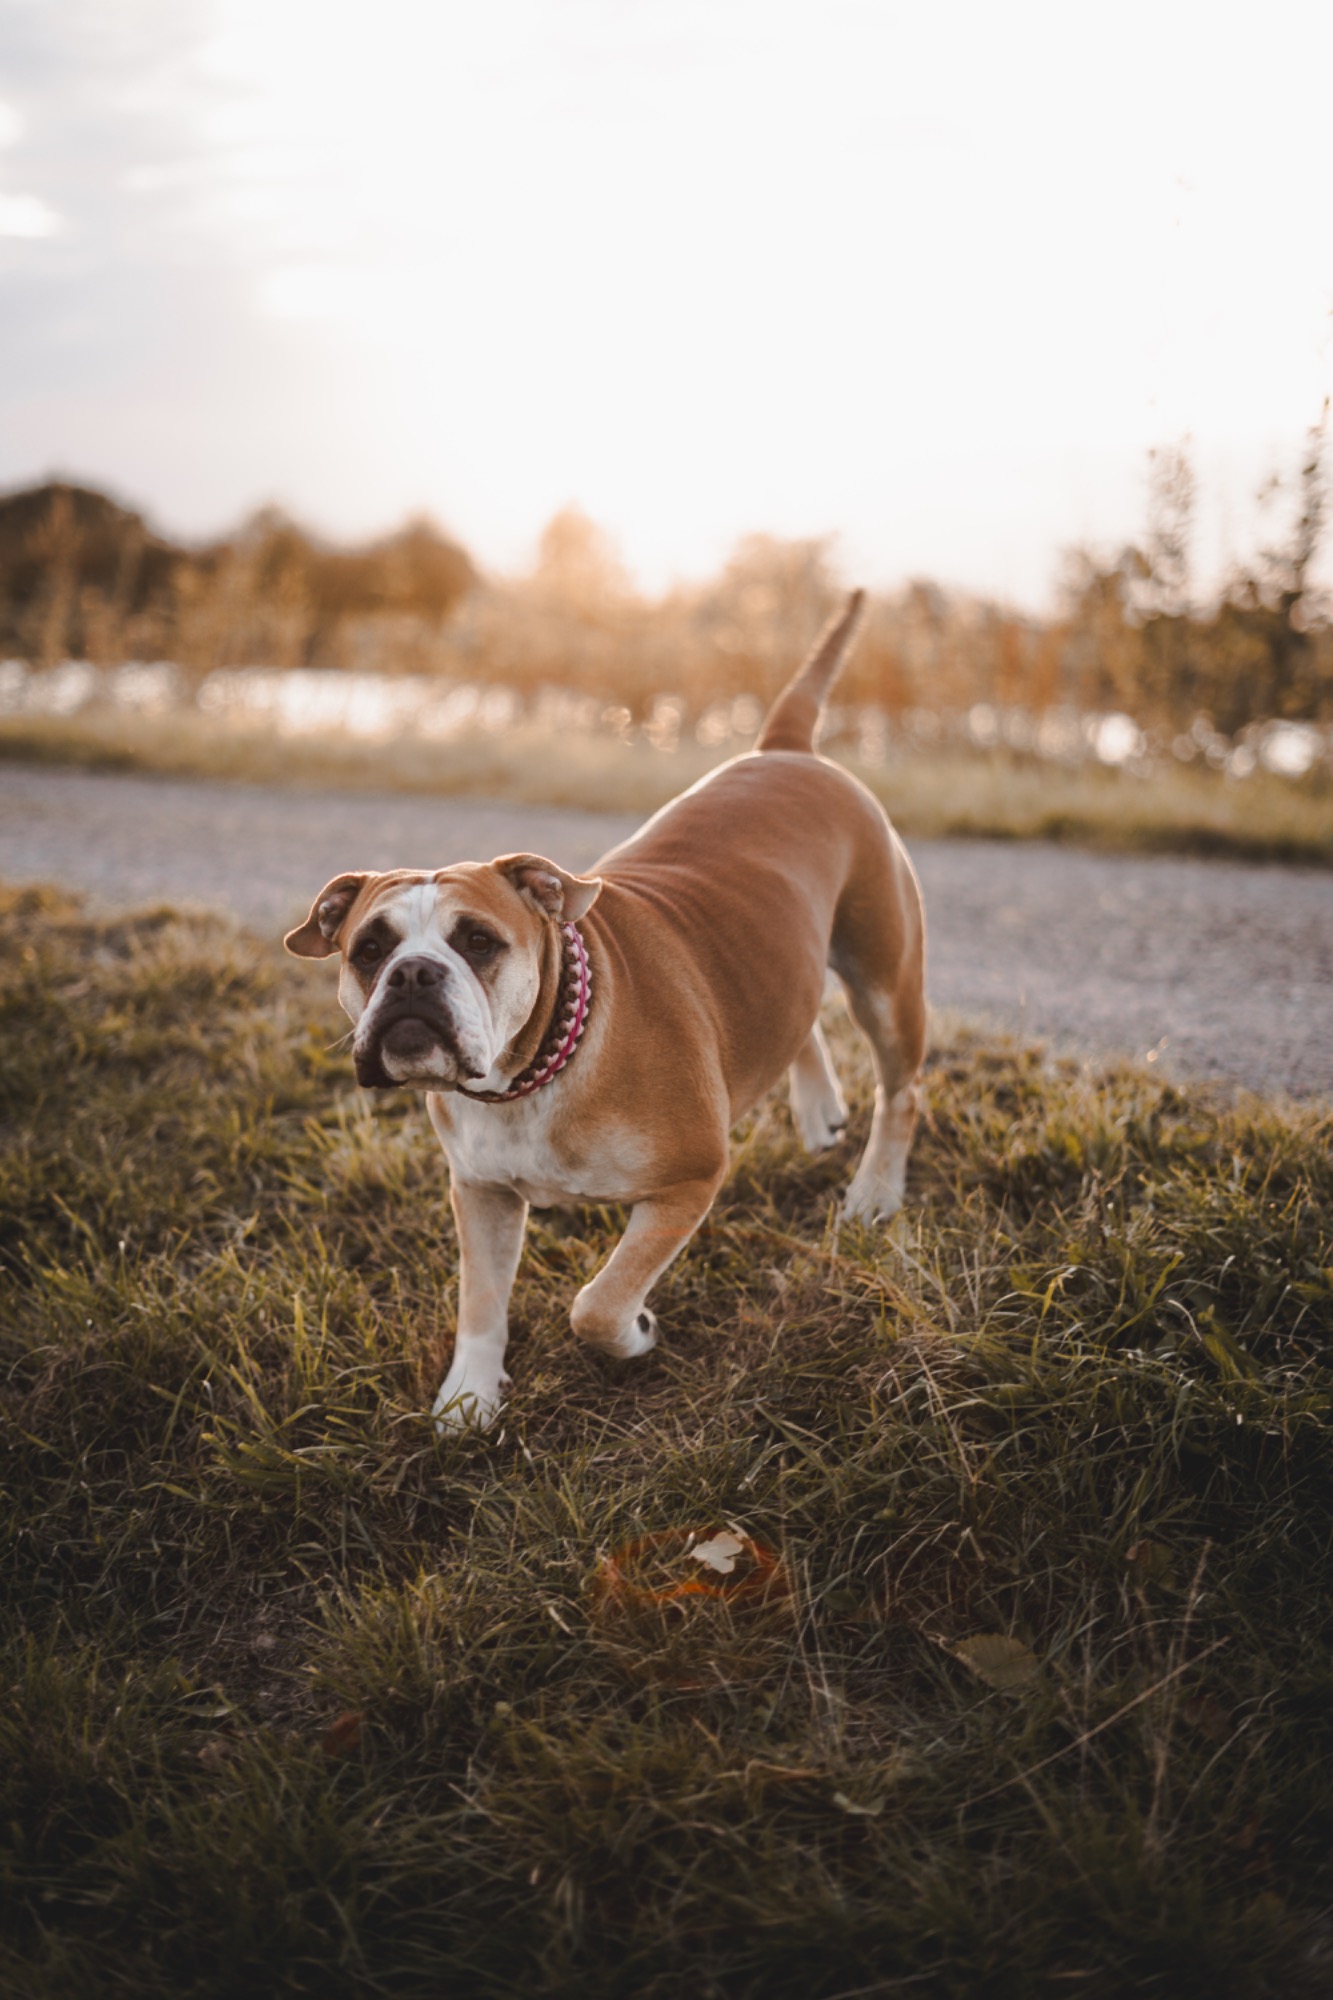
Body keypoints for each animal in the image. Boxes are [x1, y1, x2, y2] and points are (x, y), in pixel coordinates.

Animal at [285, 592, 926, 1428]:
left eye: (478, 941)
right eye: (368, 948)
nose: (414, 975)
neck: (533, 1071)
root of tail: (785, 749)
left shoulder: (689, 1181)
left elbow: (595, 1303)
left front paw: (633, 1334)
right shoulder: (481, 1195)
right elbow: (481, 1303)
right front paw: (468, 1396)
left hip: (884, 977)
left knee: (901, 1089)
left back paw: (875, 1192)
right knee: (798, 1012)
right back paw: (818, 1108)